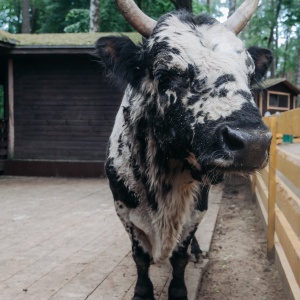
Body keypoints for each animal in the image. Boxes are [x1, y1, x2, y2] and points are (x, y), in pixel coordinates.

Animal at [95, 1, 272, 298]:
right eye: (165, 73)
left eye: (249, 75)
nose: (253, 142)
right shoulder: (124, 210)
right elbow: (140, 257)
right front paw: (142, 291)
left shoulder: (197, 208)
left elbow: (180, 255)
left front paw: (178, 289)